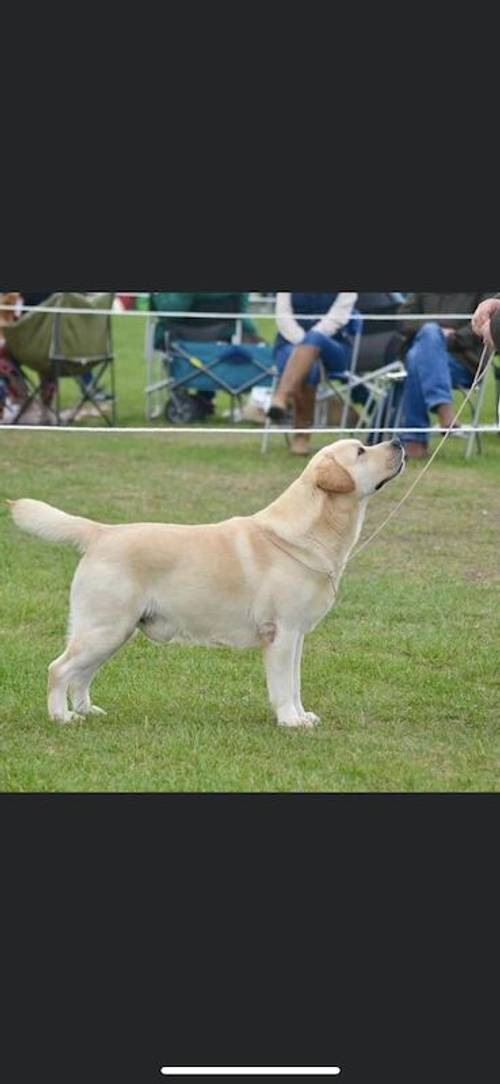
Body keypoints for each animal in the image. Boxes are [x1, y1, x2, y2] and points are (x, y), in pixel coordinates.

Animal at [7, 437, 403, 728]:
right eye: (361, 451)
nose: (398, 441)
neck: (310, 531)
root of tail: (102, 532)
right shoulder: (282, 633)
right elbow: (283, 686)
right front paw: (290, 721)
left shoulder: (297, 636)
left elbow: (295, 683)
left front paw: (302, 715)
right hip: (104, 629)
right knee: (59, 669)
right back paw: (61, 717)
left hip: (113, 633)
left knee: (82, 675)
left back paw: (87, 711)